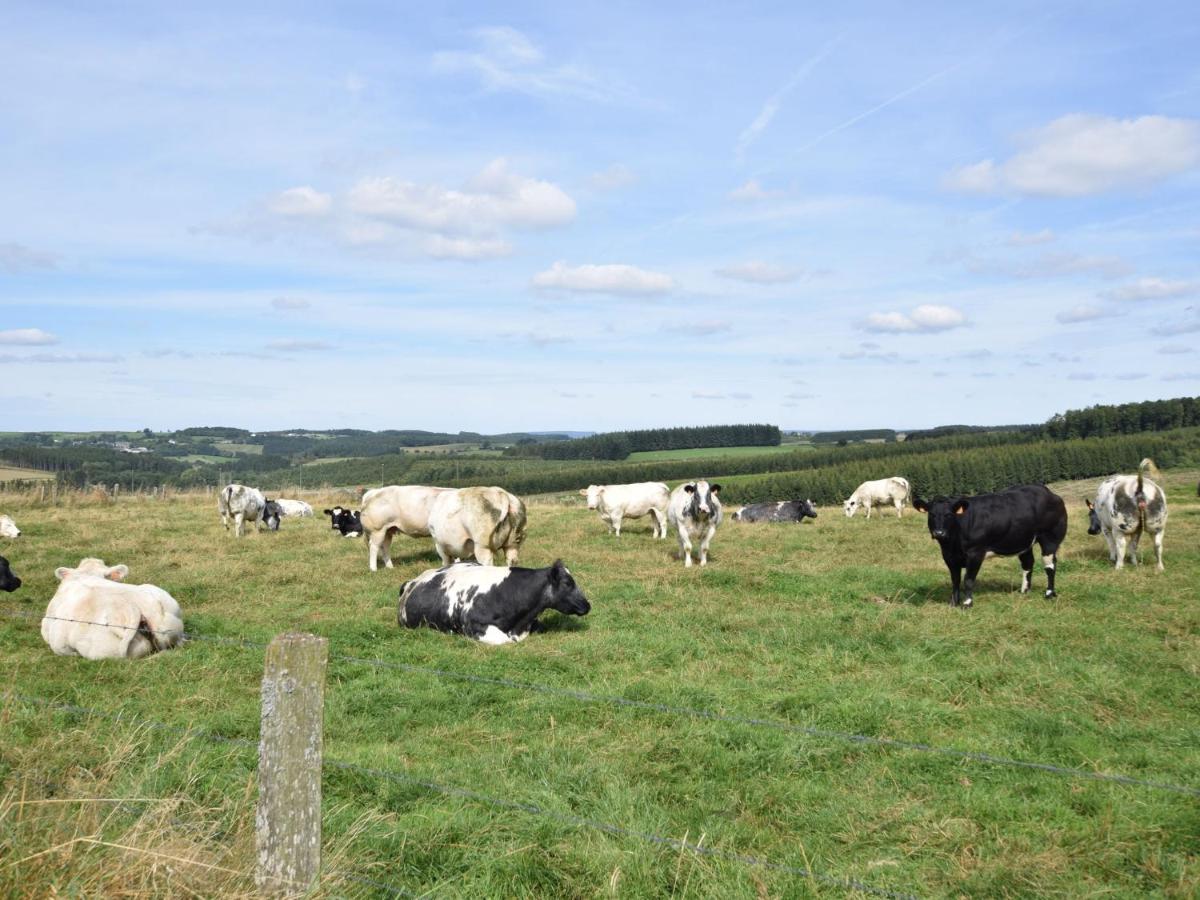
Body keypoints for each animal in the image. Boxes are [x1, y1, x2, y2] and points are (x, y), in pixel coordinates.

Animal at [912, 487, 1075, 614]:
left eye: (949, 514)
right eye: (931, 514)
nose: (939, 533)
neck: (952, 543)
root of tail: (1049, 493)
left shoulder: (975, 553)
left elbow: (968, 579)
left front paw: (967, 603)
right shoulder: (949, 557)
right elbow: (955, 580)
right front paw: (953, 603)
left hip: (1050, 538)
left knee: (1050, 566)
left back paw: (1049, 593)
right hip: (1023, 540)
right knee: (1028, 564)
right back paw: (1024, 591)